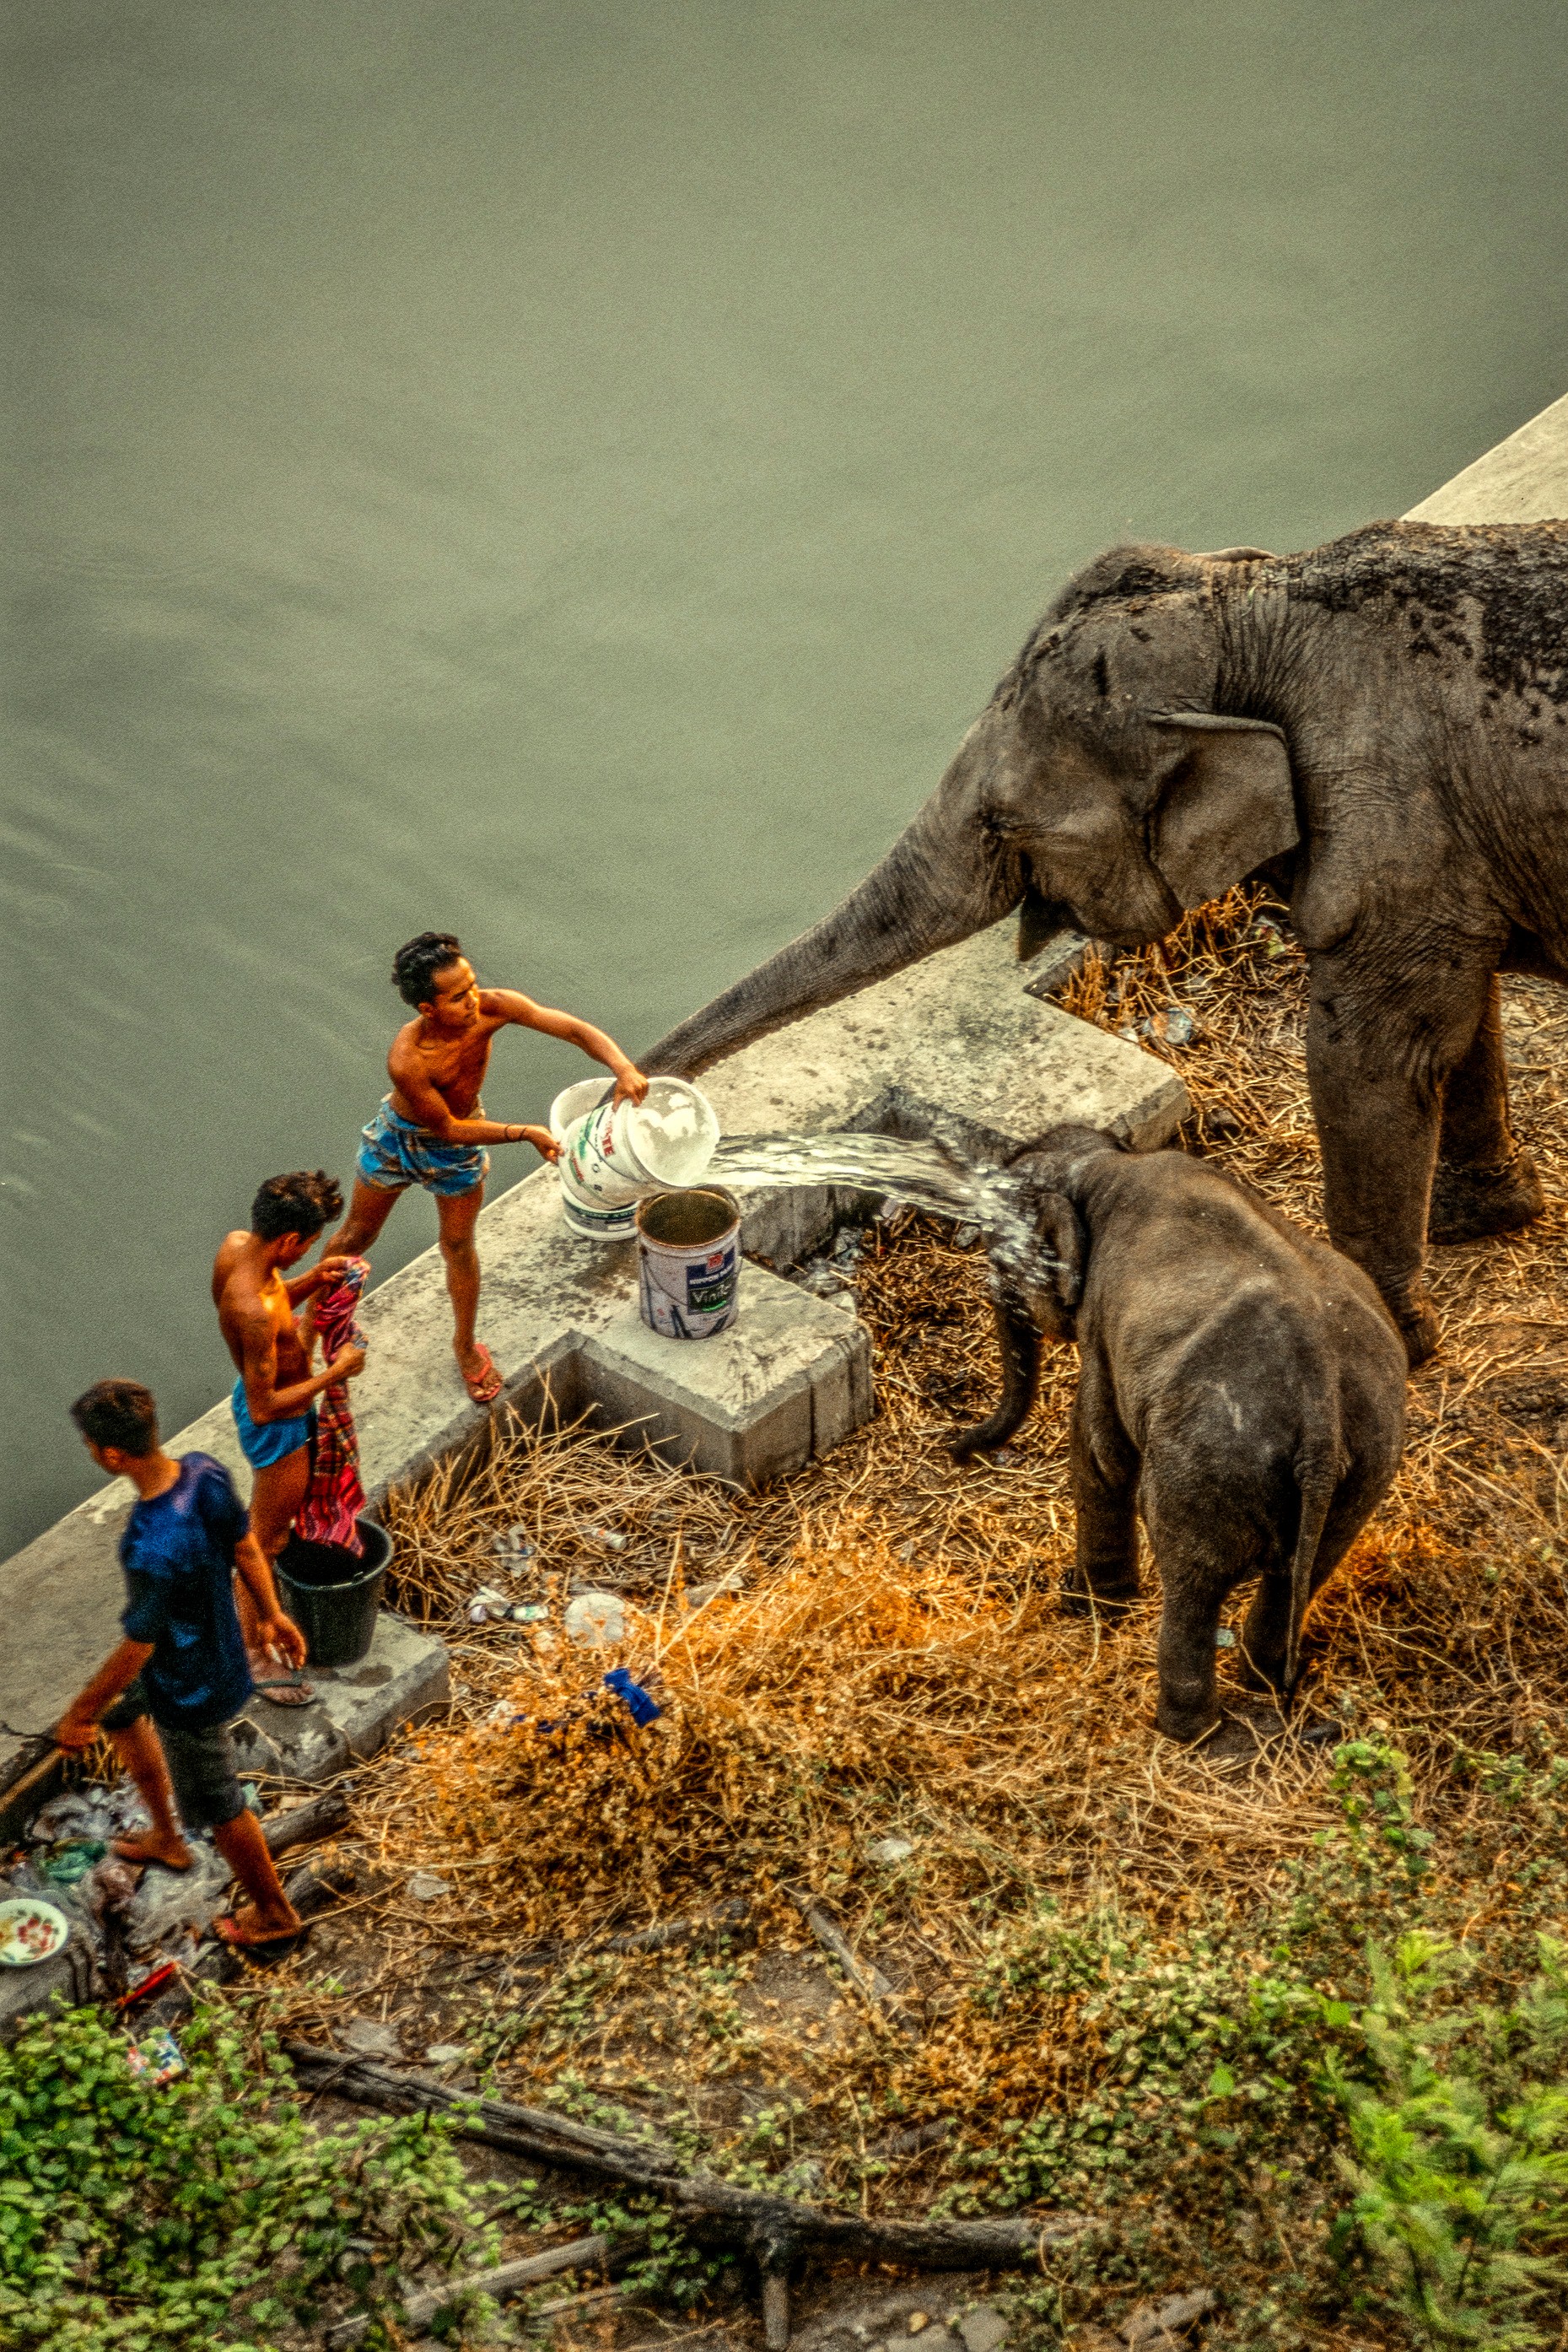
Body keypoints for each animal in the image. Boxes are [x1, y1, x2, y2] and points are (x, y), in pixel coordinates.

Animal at [645, 521, 1568, 1363]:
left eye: (1000, 821)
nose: (638, 1095)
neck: (1251, 607)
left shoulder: (1393, 832)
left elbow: (1374, 1055)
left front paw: (1379, 1337)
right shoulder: (1447, 862)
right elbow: (1460, 1019)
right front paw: (1482, 1218)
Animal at [952, 1124, 1408, 1744]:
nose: (956, 1450)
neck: (1105, 1165)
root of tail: (1322, 1414)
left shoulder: (1101, 1317)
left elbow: (1100, 1451)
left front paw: (1086, 1604)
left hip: (1208, 1467)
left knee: (1193, 1578)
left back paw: (1182, 1731)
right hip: (1366, 1465)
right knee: (1305, 1569)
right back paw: (1263, 1685)